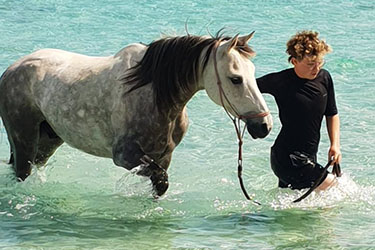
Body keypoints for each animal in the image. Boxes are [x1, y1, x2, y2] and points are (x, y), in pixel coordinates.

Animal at [0, 31, 272, 196]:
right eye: (235, 78)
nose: (264, 126)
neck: (154, 95)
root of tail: (11, 70)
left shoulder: (163, 156)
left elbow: (159, 186)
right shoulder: (125, 156)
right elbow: (160, 180)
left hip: (48, 141)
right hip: (24, 140)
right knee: (21, 172)